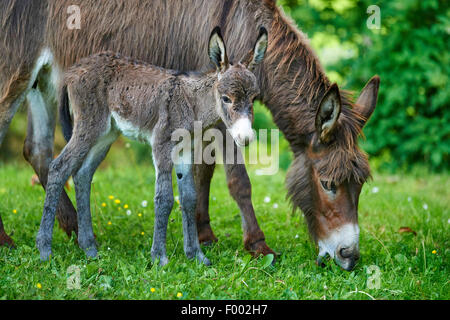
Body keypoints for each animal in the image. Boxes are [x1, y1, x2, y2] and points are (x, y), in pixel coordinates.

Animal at [37, 26, 268, 264]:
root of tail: (74, 69)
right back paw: (45, 250)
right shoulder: (161, 144)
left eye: (253, 98)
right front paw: (159, 257)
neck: (192, 104)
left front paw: (195, 255)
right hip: (89, 126)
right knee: (59, 167)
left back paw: (89, 248)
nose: (246, 137)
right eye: (226, 98)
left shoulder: (185, 150)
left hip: (105, 134)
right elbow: (164, 198)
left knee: (82, 174)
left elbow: (189, 198)